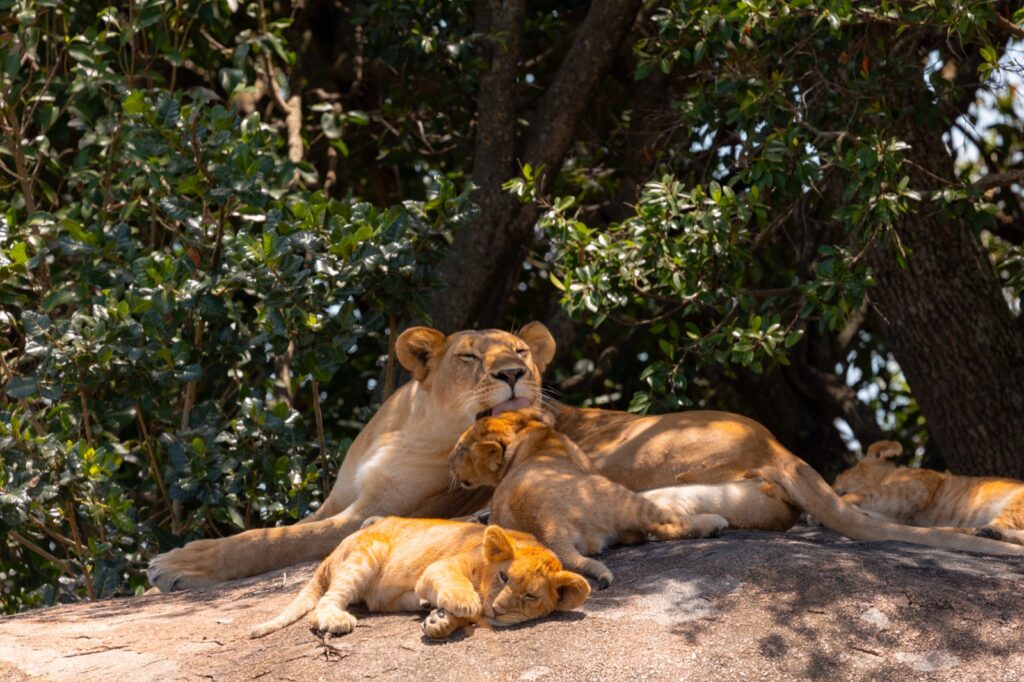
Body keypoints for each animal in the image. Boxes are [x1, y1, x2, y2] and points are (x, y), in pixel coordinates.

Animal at [249, 516, 590, 640]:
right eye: (504, 577)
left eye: (530, 596)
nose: (498, 610)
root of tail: (329, 556)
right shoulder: (438, 568)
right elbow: (460, 589)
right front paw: (464, 604)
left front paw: (441, 621)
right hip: (367, 552)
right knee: (325, 603)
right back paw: (337, 619)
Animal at [448, 408, 728, 587]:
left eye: (461, 450)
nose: (448, 462)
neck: (528, 439)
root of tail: (548, 525)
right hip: (618, 495)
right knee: (663, 526)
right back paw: (714, 523)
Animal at [832, 440, 1024, 545]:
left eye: (841, 473)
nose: (832, 485)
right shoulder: (904, 515)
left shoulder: (916, 489)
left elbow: (862, 494)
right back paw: (993, 534)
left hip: (1014, 505)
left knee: (973, 529)